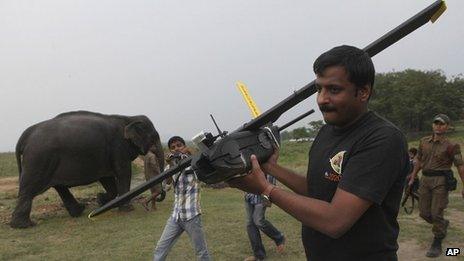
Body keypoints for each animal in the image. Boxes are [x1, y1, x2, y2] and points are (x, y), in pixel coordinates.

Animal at [9, 110, 165, 228]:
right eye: (154, 137)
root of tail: (25, 136)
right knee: (29, 189)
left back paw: (79, 211)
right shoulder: (118, 147)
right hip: (39, 159)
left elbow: (107, 179)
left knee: (58, 186)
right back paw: (24, 225)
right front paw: (127, 209)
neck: (128, 117)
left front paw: (101, 201)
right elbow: (123, 173)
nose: (159, 198)